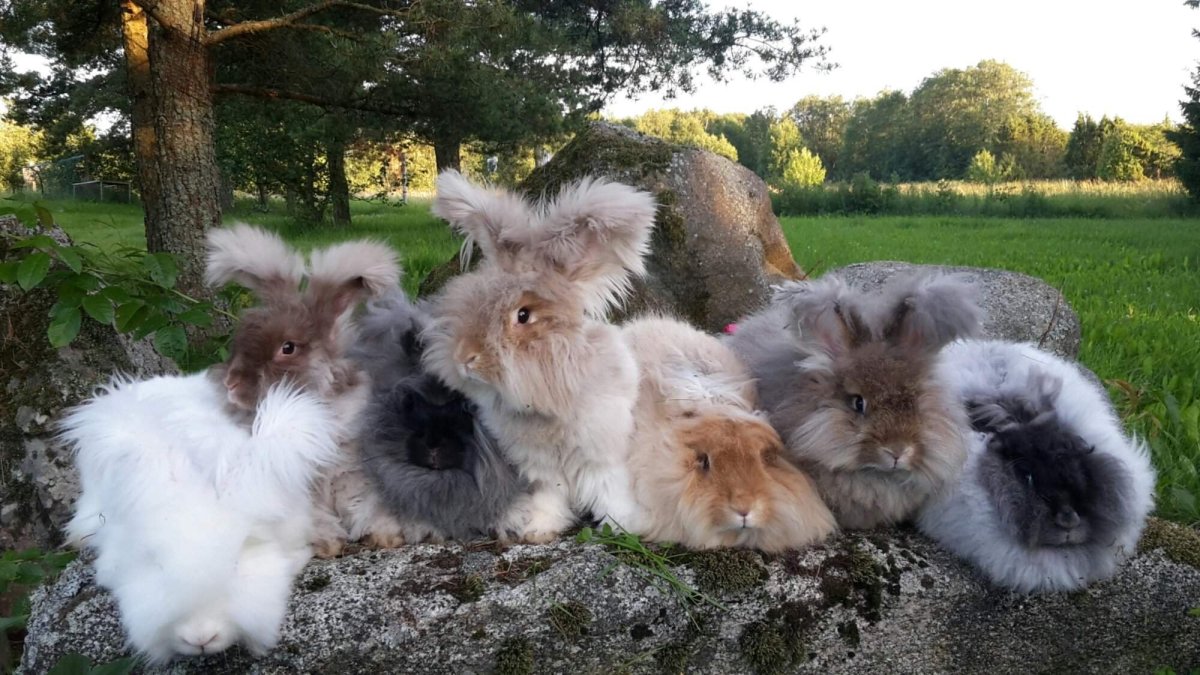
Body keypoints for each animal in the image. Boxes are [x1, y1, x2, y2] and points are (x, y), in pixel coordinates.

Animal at [206, 224, 409, 557]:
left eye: (287, 348)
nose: (231, 382)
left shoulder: (355, 475)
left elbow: (365, 506)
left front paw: (386, 536)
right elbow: (313, 519)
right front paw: (328, 545)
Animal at [421, 170, 657, 542]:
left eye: (523, 316)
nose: (465, 358)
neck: (550, 400)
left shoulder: (603, 455)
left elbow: (609, 492)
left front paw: (622, 528)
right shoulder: (541, 467)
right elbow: (550, 496)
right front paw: (538, 529)